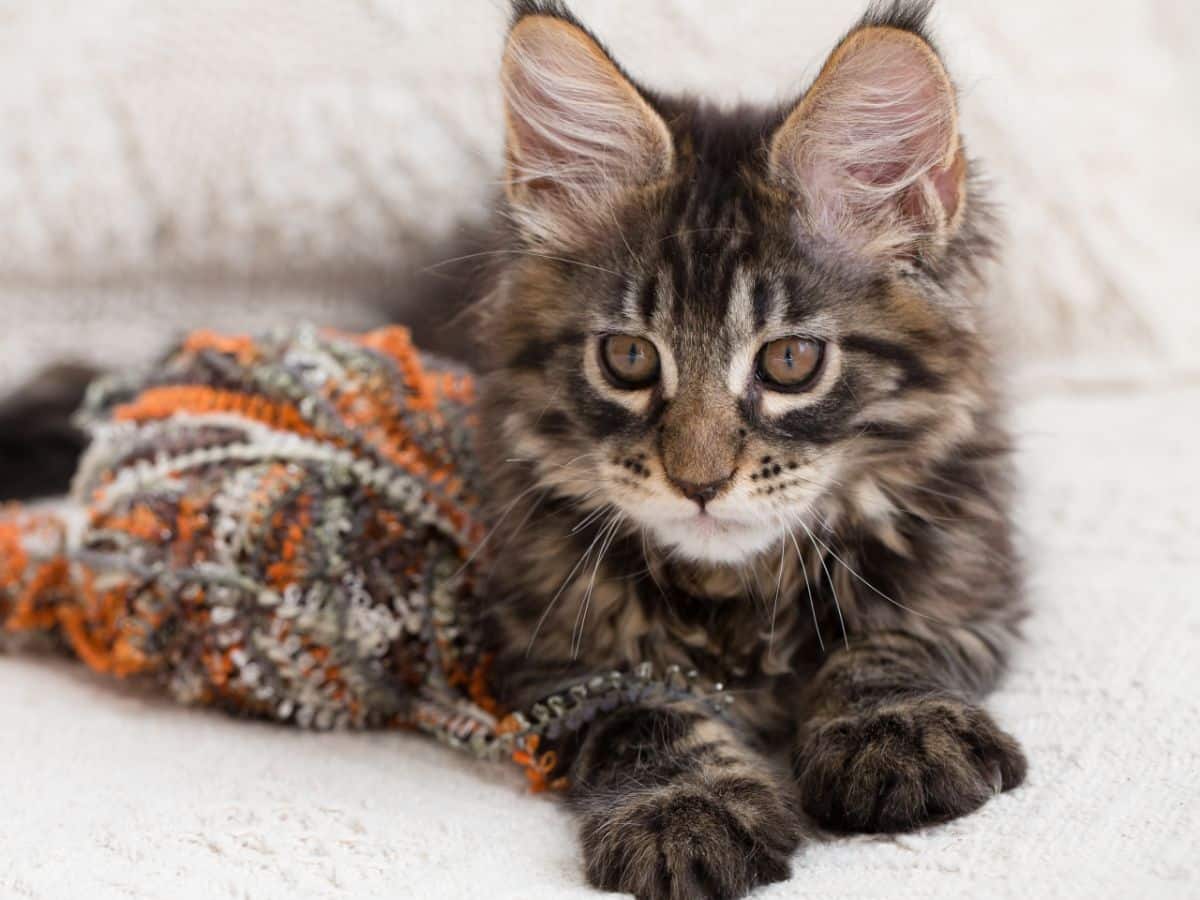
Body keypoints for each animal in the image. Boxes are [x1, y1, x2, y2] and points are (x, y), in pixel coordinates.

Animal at [472, 1, 1027, 900]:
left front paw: (897, 731)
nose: (697, 482)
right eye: (628, 358)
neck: (738, 593)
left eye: (791, 361)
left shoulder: (970, 583)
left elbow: (887, 643)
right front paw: (683, 811)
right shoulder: (548, 648)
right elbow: (644, 712)